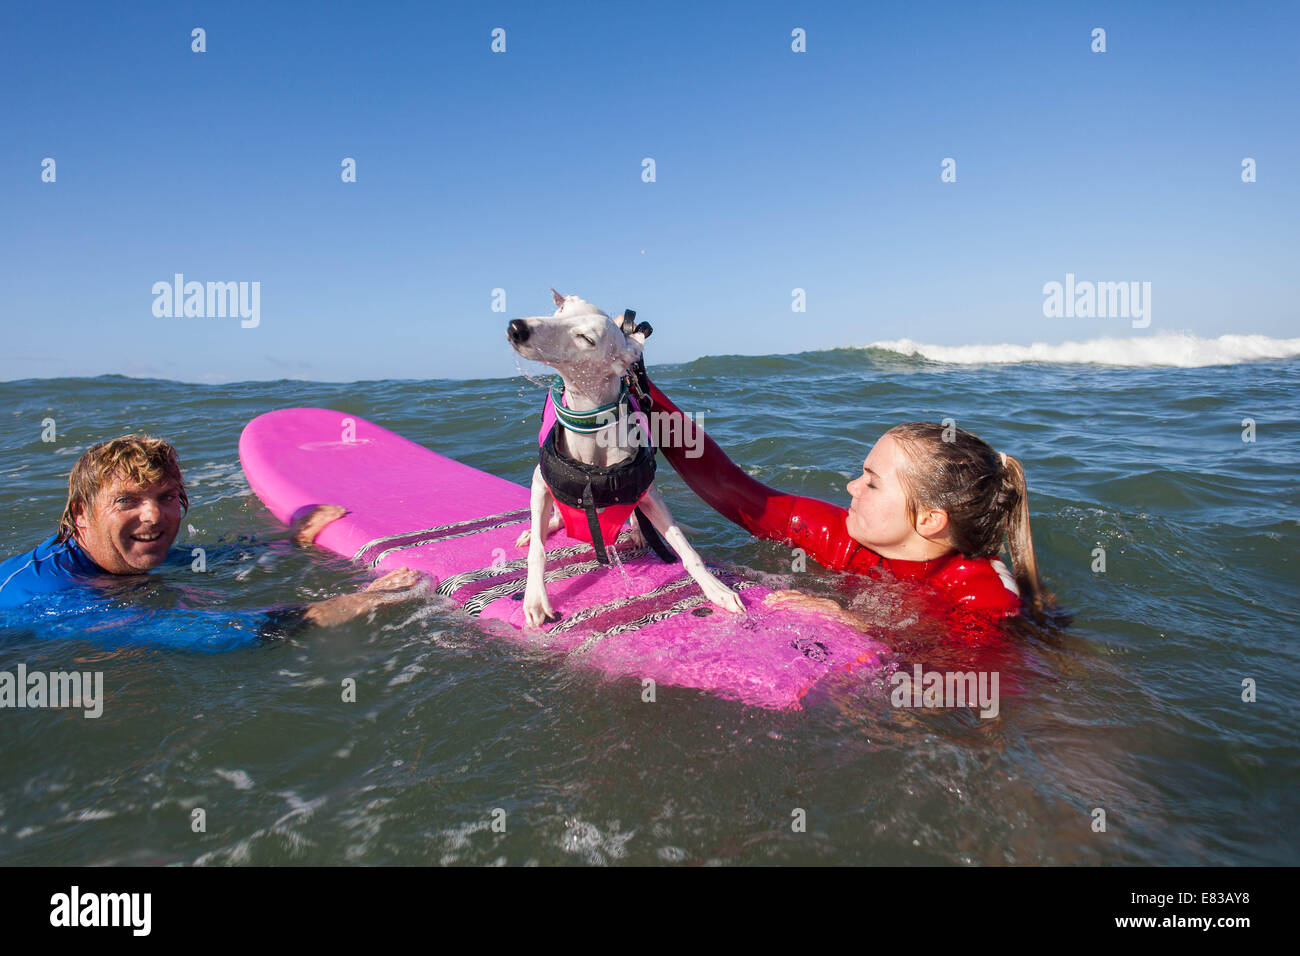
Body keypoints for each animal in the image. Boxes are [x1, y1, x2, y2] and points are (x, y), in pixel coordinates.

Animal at [506, 290, 743, 629]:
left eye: (586, 338)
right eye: (559, 313)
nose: (516, 327)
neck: (592, 435)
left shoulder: (649, 492)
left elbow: (684, 546)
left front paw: (717, 590)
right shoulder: (540, 480)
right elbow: (538, 551)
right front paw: (535, 598)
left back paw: (637, 531)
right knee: (551, 520)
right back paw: (540, 527)